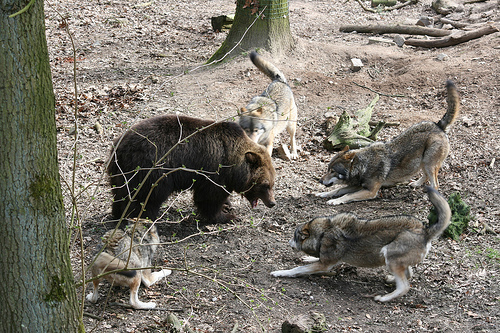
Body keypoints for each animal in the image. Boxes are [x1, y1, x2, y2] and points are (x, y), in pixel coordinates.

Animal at [107, 113, 276, 222]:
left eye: (272, 184)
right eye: (265, 185)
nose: (272, 203)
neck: (233, 166)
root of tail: (118, 146)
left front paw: (228, 206)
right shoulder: (214, 172)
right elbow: (210, 198)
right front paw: (225, 216)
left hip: (121, 172)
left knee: (120, 194)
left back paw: (118, 214)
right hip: (150, 169)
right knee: (146, 197)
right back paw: (141, 218)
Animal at [272, 187, 452, 300]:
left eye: (294, 236)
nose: (288, 242)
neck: (323, 232)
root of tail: (425, 231)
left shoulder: (325, 265)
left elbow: (297, 269)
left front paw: (280, 272)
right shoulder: (328, 261)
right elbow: (313, 260)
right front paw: (307, 258)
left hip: (388, 254)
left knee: (404, 287)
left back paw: (383, 298)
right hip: (393, 260)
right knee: (408, 275)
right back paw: (390, 279)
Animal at [316, 80, 460, 205]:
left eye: (333, 171)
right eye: (327, 169)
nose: (320, 180)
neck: (363, 165)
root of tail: (438, 125)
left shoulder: (370, 191)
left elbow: (346, 195)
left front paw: (335, 201)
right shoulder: (358, 186)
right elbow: (338, 189)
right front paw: (323, 194)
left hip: (429, 164)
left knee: (435, 184)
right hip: (423, 163)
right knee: (425, 177)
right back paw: (416, 184)